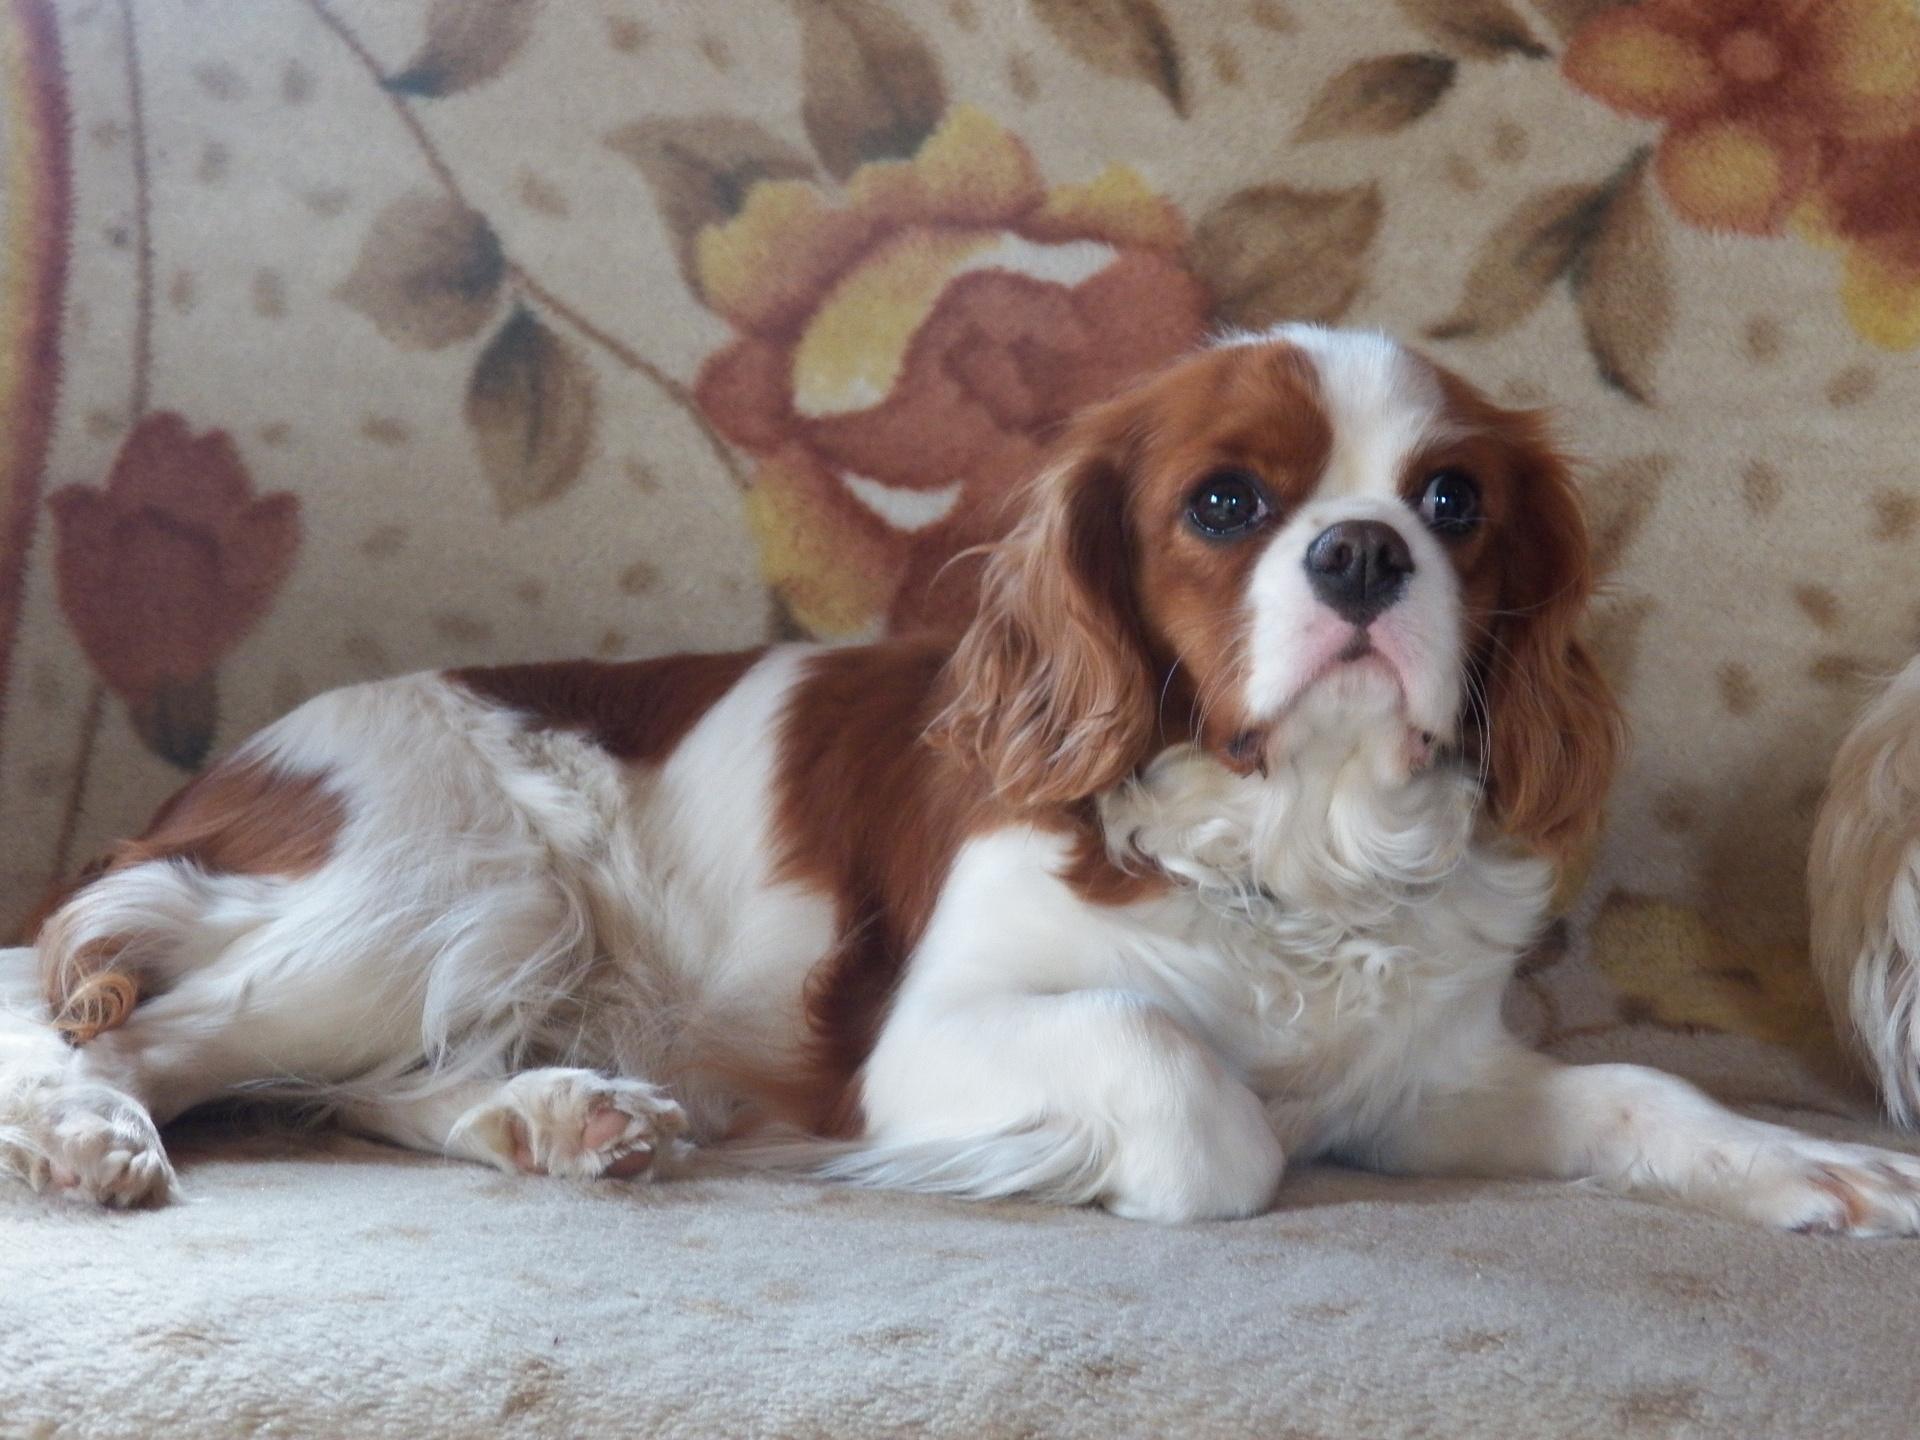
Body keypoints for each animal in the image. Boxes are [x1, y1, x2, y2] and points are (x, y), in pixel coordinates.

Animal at [4, 324, 1918, 1234]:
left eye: (1452, 502)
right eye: (1226, 502)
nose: (1367, 555)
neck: (1288, 841)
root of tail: (231, 769)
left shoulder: (1427, 1081)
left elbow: (1631, 1093)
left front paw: (1799, 1167)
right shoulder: (930, 1040)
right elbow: (1199, 1098)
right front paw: (1064, 1166)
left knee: (370, 1081)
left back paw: (564, 1113)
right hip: (444, 886)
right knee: (106, 1018)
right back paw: (93, 1132)